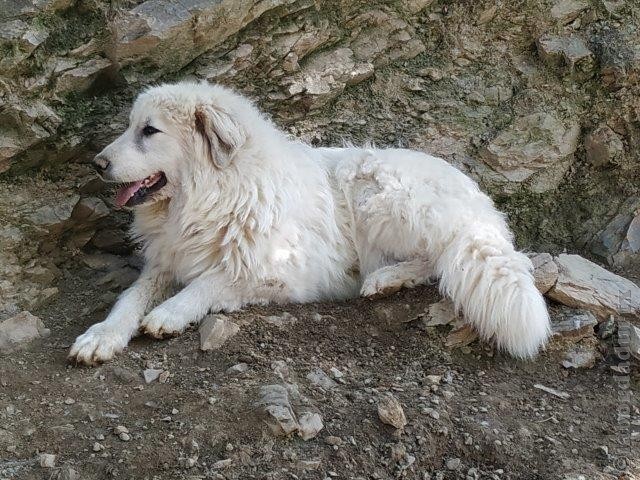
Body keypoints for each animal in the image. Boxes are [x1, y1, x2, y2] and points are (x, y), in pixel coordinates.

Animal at [69, 80, 552, 364]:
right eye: (131, 126)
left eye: (149, 131)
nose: (96, 164)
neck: (210, 197)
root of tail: (479, 201)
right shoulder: (163, 264)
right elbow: (129, 299)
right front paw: (101, 335)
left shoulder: (284, 273)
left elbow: (212, 281)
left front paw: (170, 312)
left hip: (378, 191)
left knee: (439, 260)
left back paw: (386, 279)